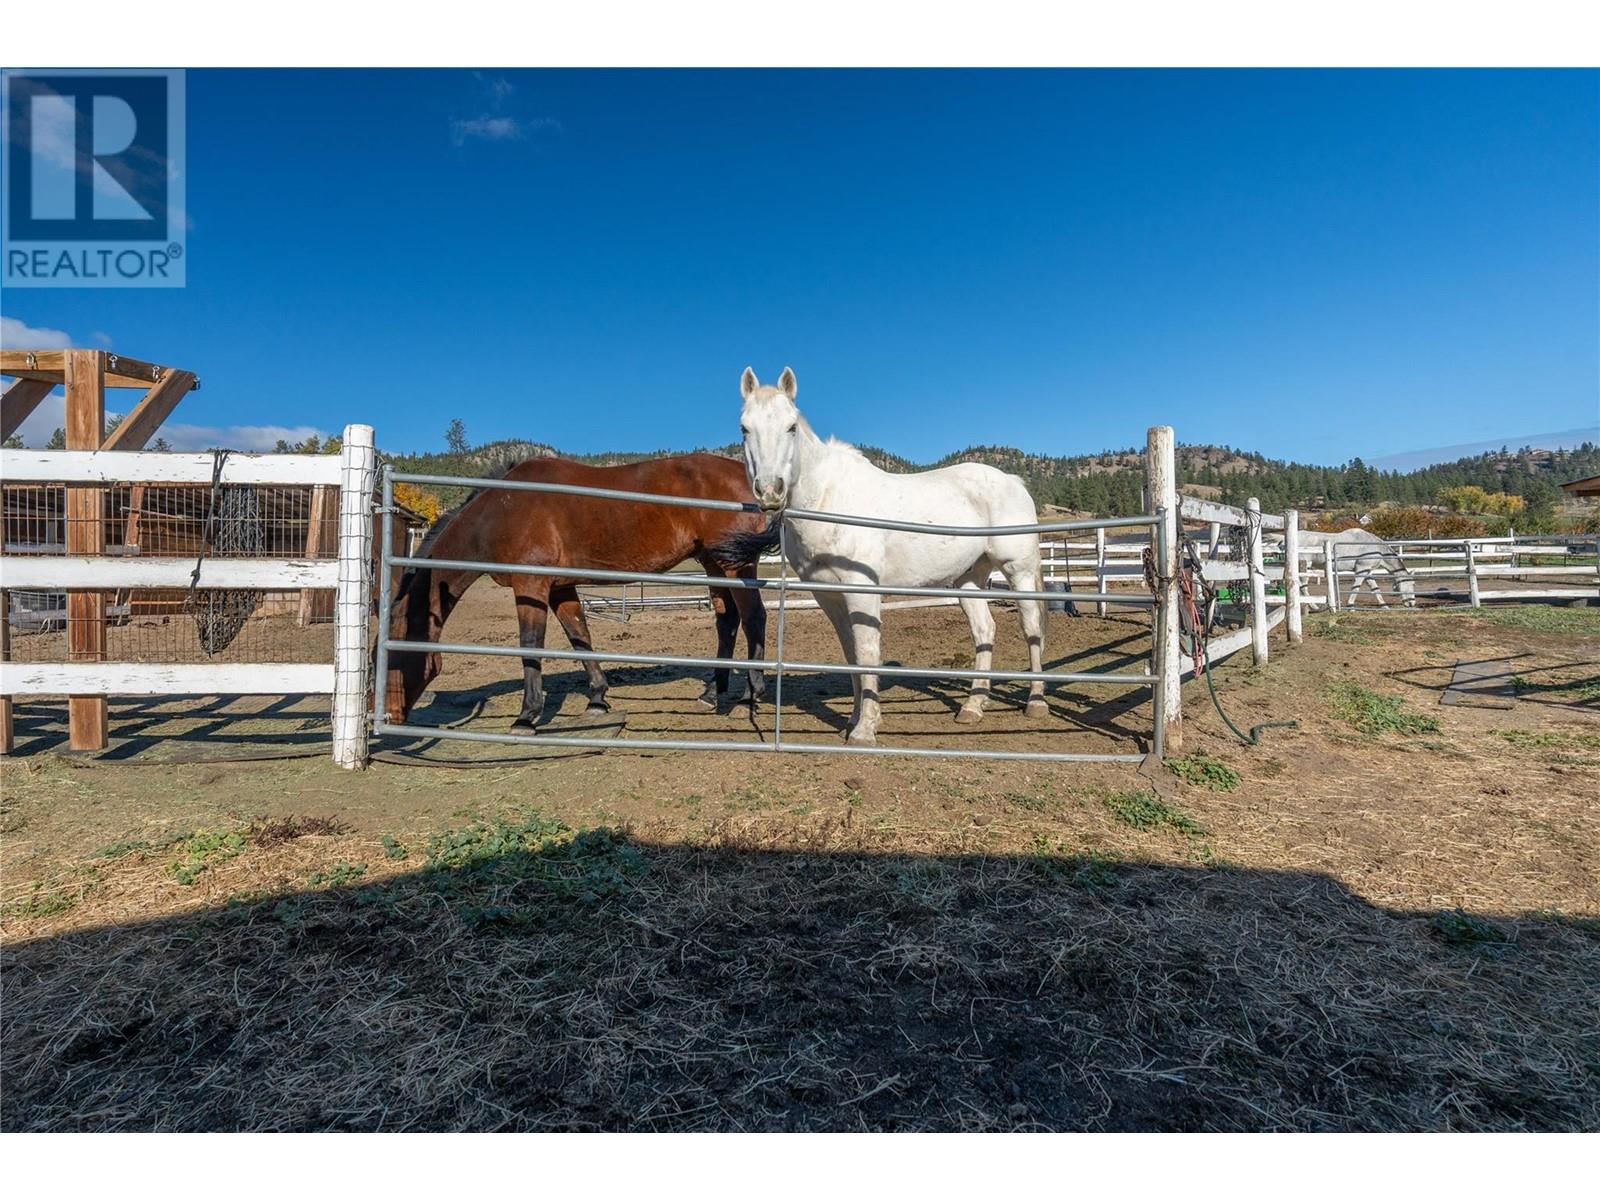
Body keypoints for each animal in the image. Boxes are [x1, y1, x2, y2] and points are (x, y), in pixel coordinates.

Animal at [380, 454, 768, 729]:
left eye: (392, 654)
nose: (390, 715)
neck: (500, 511)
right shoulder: (560, 588)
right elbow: (580, 636)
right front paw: (597, 699)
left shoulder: (531, 585)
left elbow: (530, 644)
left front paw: (526, 717)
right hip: (714, 561)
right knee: (727, 621)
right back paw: (712, 695)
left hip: (736, 566)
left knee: (753, 618)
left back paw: (749, 697)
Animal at [723, 366, 1049, 748]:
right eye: (744, 428)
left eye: (791, 426)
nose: (770, 491)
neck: (829, 499)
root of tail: (1013, 481)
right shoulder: (828, 596)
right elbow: (851, 655)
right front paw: (853, 720)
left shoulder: (862, 590)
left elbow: (867, 652)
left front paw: (865, 729)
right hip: (968, 578)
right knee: (984, 629)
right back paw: (973, 706)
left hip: (1019, 571)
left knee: (1031, 628)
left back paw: (1036, 702)